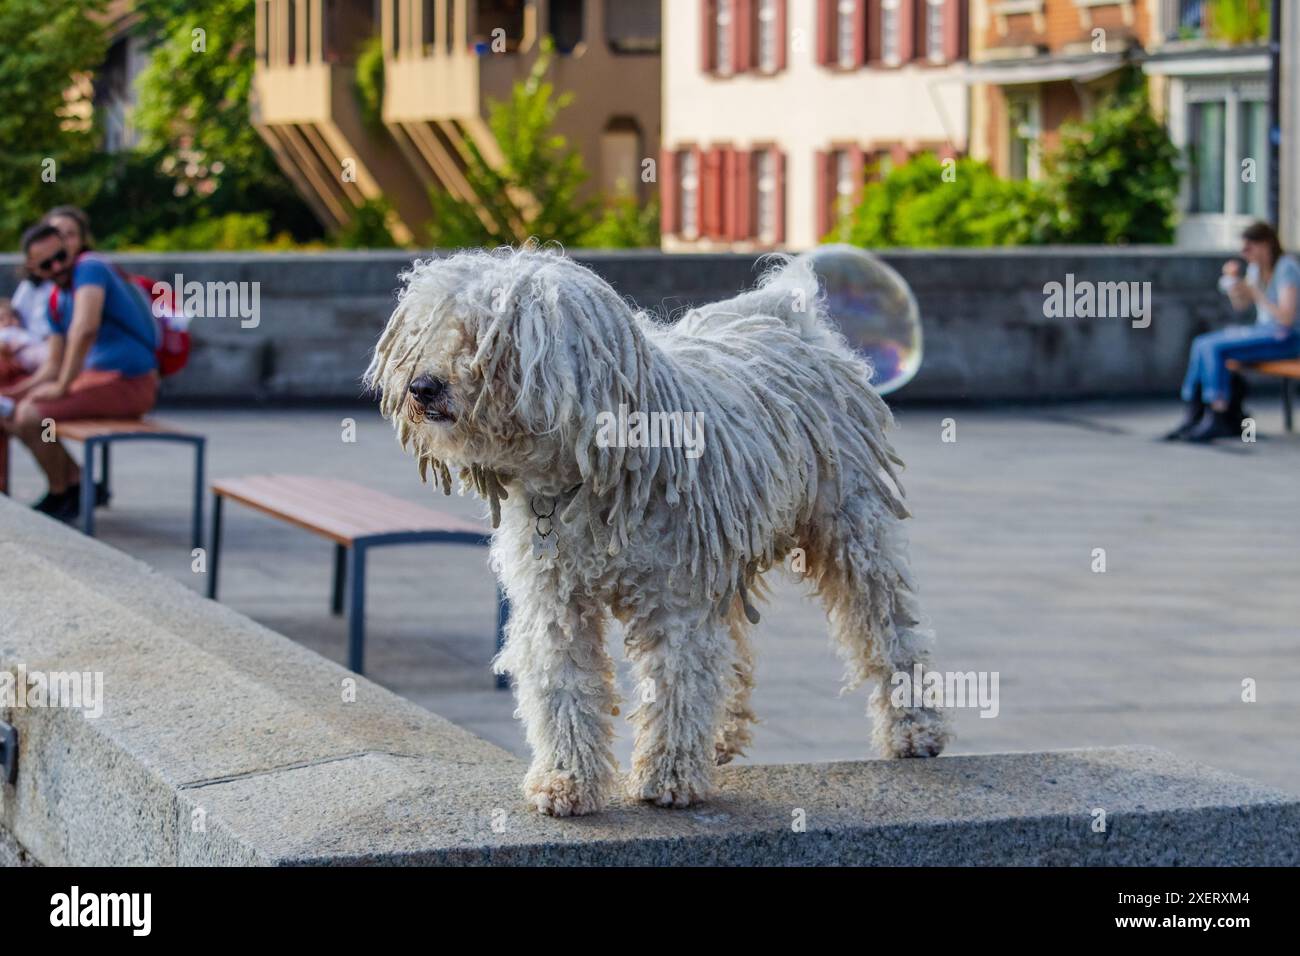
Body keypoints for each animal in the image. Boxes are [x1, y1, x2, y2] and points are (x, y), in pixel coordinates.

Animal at [369, 244, 956, 816]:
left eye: (486, 338)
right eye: (424, 332)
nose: (422, 386)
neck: (586, 476)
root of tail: (788, 316)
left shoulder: (676, 595)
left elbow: (678, 678)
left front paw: (669, 779)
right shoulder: (555, 598)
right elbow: (564, 684)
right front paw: (565, 781)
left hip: (853, 527)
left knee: (886, 626)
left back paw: (914, 730)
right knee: (732, 651)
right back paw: (718, 739)